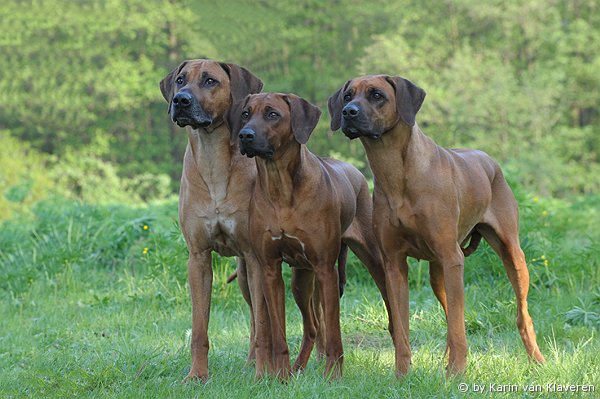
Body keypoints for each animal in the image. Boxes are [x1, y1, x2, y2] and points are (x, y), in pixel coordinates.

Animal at [158, 58, 268, 382]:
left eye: (210, 81)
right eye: (180, 80)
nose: (181, 101)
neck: (212, 158)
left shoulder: (256, 258)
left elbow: (265, 324)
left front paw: (264, 375)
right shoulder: (198, 257)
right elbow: (199, 328)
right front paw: (197, 375)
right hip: (243, 276)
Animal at [227, 92, 392, 380]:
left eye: (272, 114)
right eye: (245, 114)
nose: (245, 135)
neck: (280, 187)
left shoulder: (326, 269)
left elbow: (334, 332)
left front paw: (333, 376)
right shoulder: (269, 270)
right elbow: (279, 332)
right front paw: (280, 377)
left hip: (371, 259)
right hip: (301, 280)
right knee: (312, 326)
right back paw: (297, 369)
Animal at [326, 75, 548, 378]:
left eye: (376, 95)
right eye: (348, 95)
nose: (349, 112)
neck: (396, 171)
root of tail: (489, 159)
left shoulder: (451, 257)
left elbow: (457, 326)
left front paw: (455, 374)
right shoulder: (394, 264)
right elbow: (402, 328)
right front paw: (402, 375)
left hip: (509, 255)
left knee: (520, 314)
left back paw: (536, 360)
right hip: (439, 272)